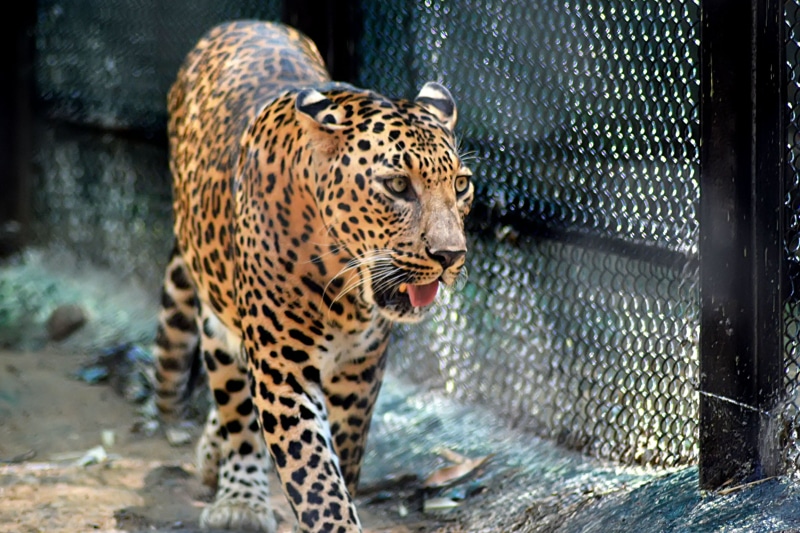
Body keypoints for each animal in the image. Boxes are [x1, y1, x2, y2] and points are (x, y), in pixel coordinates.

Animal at [152, 20, 473, 533]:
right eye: (397, 185)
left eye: (461, 185)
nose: (450, 255)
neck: (343, 286)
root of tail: (242, 23)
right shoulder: (283, 373)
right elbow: (314, 475)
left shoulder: (361, 367)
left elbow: (345, 454)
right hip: (218, 324)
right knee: (236, 410)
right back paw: (240, 498)